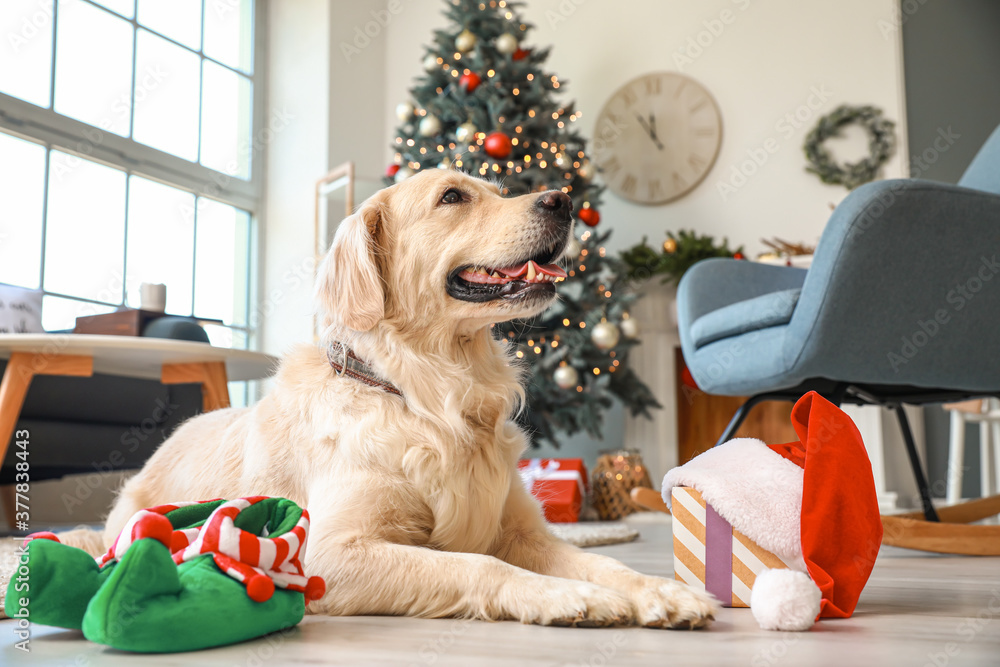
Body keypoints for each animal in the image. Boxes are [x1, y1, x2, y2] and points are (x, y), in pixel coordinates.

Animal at [72, 170, 712, 628]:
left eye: (500, 190)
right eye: (452, 196)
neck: (429, 395)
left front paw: (660, 591)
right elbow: (479, 563)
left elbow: (602, 560)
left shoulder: (523, 531)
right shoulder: (327, 553)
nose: (563, 200)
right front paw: (565, 594)